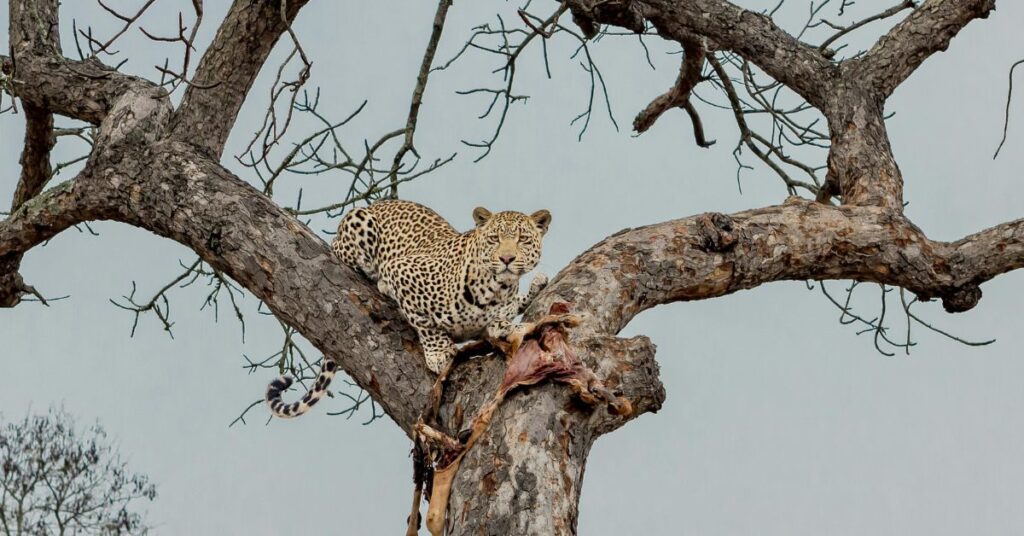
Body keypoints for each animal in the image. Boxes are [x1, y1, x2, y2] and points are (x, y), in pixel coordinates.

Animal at [266, 199, 552, 418]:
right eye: (494, 239)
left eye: (523, 239)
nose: (506, 259)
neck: (496, 288)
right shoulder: (402, 270)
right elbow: (426, 324)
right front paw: (439, 352)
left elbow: (501, 323)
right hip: (358, 220)